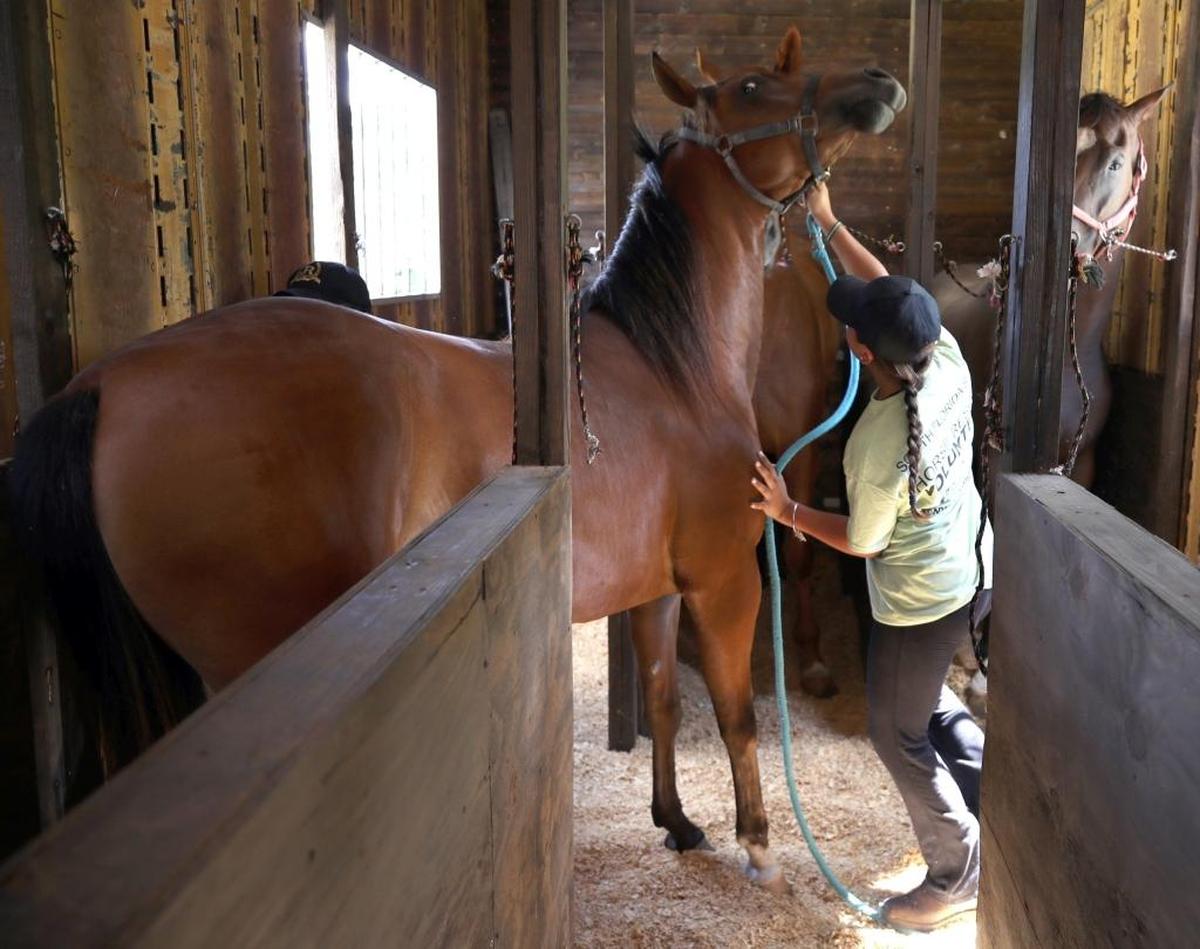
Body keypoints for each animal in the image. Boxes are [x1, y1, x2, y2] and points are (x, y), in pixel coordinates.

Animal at [10, 26, 906, 891]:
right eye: (754, 87)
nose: (878, 84)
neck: (673, 364)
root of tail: (100, 386)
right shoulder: (725, 582)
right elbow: (736, 714)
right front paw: (758, 844)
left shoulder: (657, 589)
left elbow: (661, 699)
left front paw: (678, 823)